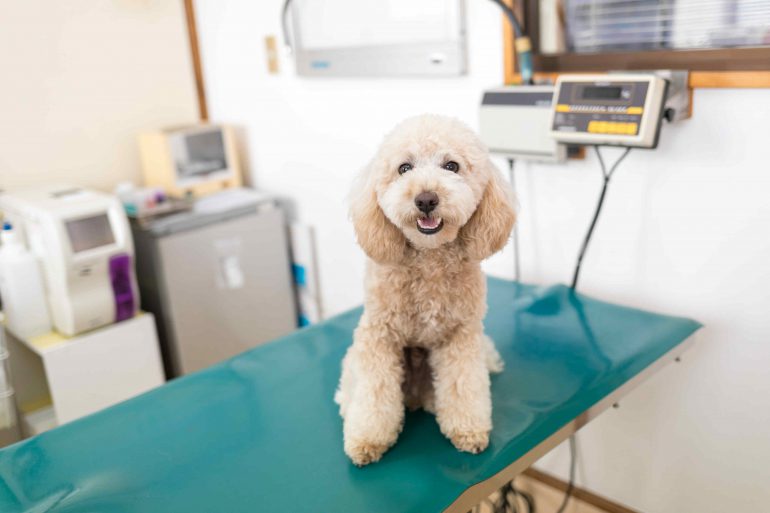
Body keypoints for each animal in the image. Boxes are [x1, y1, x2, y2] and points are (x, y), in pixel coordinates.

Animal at [332, 114, 512, 466]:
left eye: (452, 166)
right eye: (404, 168)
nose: (426, 199)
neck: (429, 258)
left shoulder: (461, 336)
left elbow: (463, 386)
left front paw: (468, 430)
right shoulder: (378, 336)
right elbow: (374, 393)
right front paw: (367, 440)